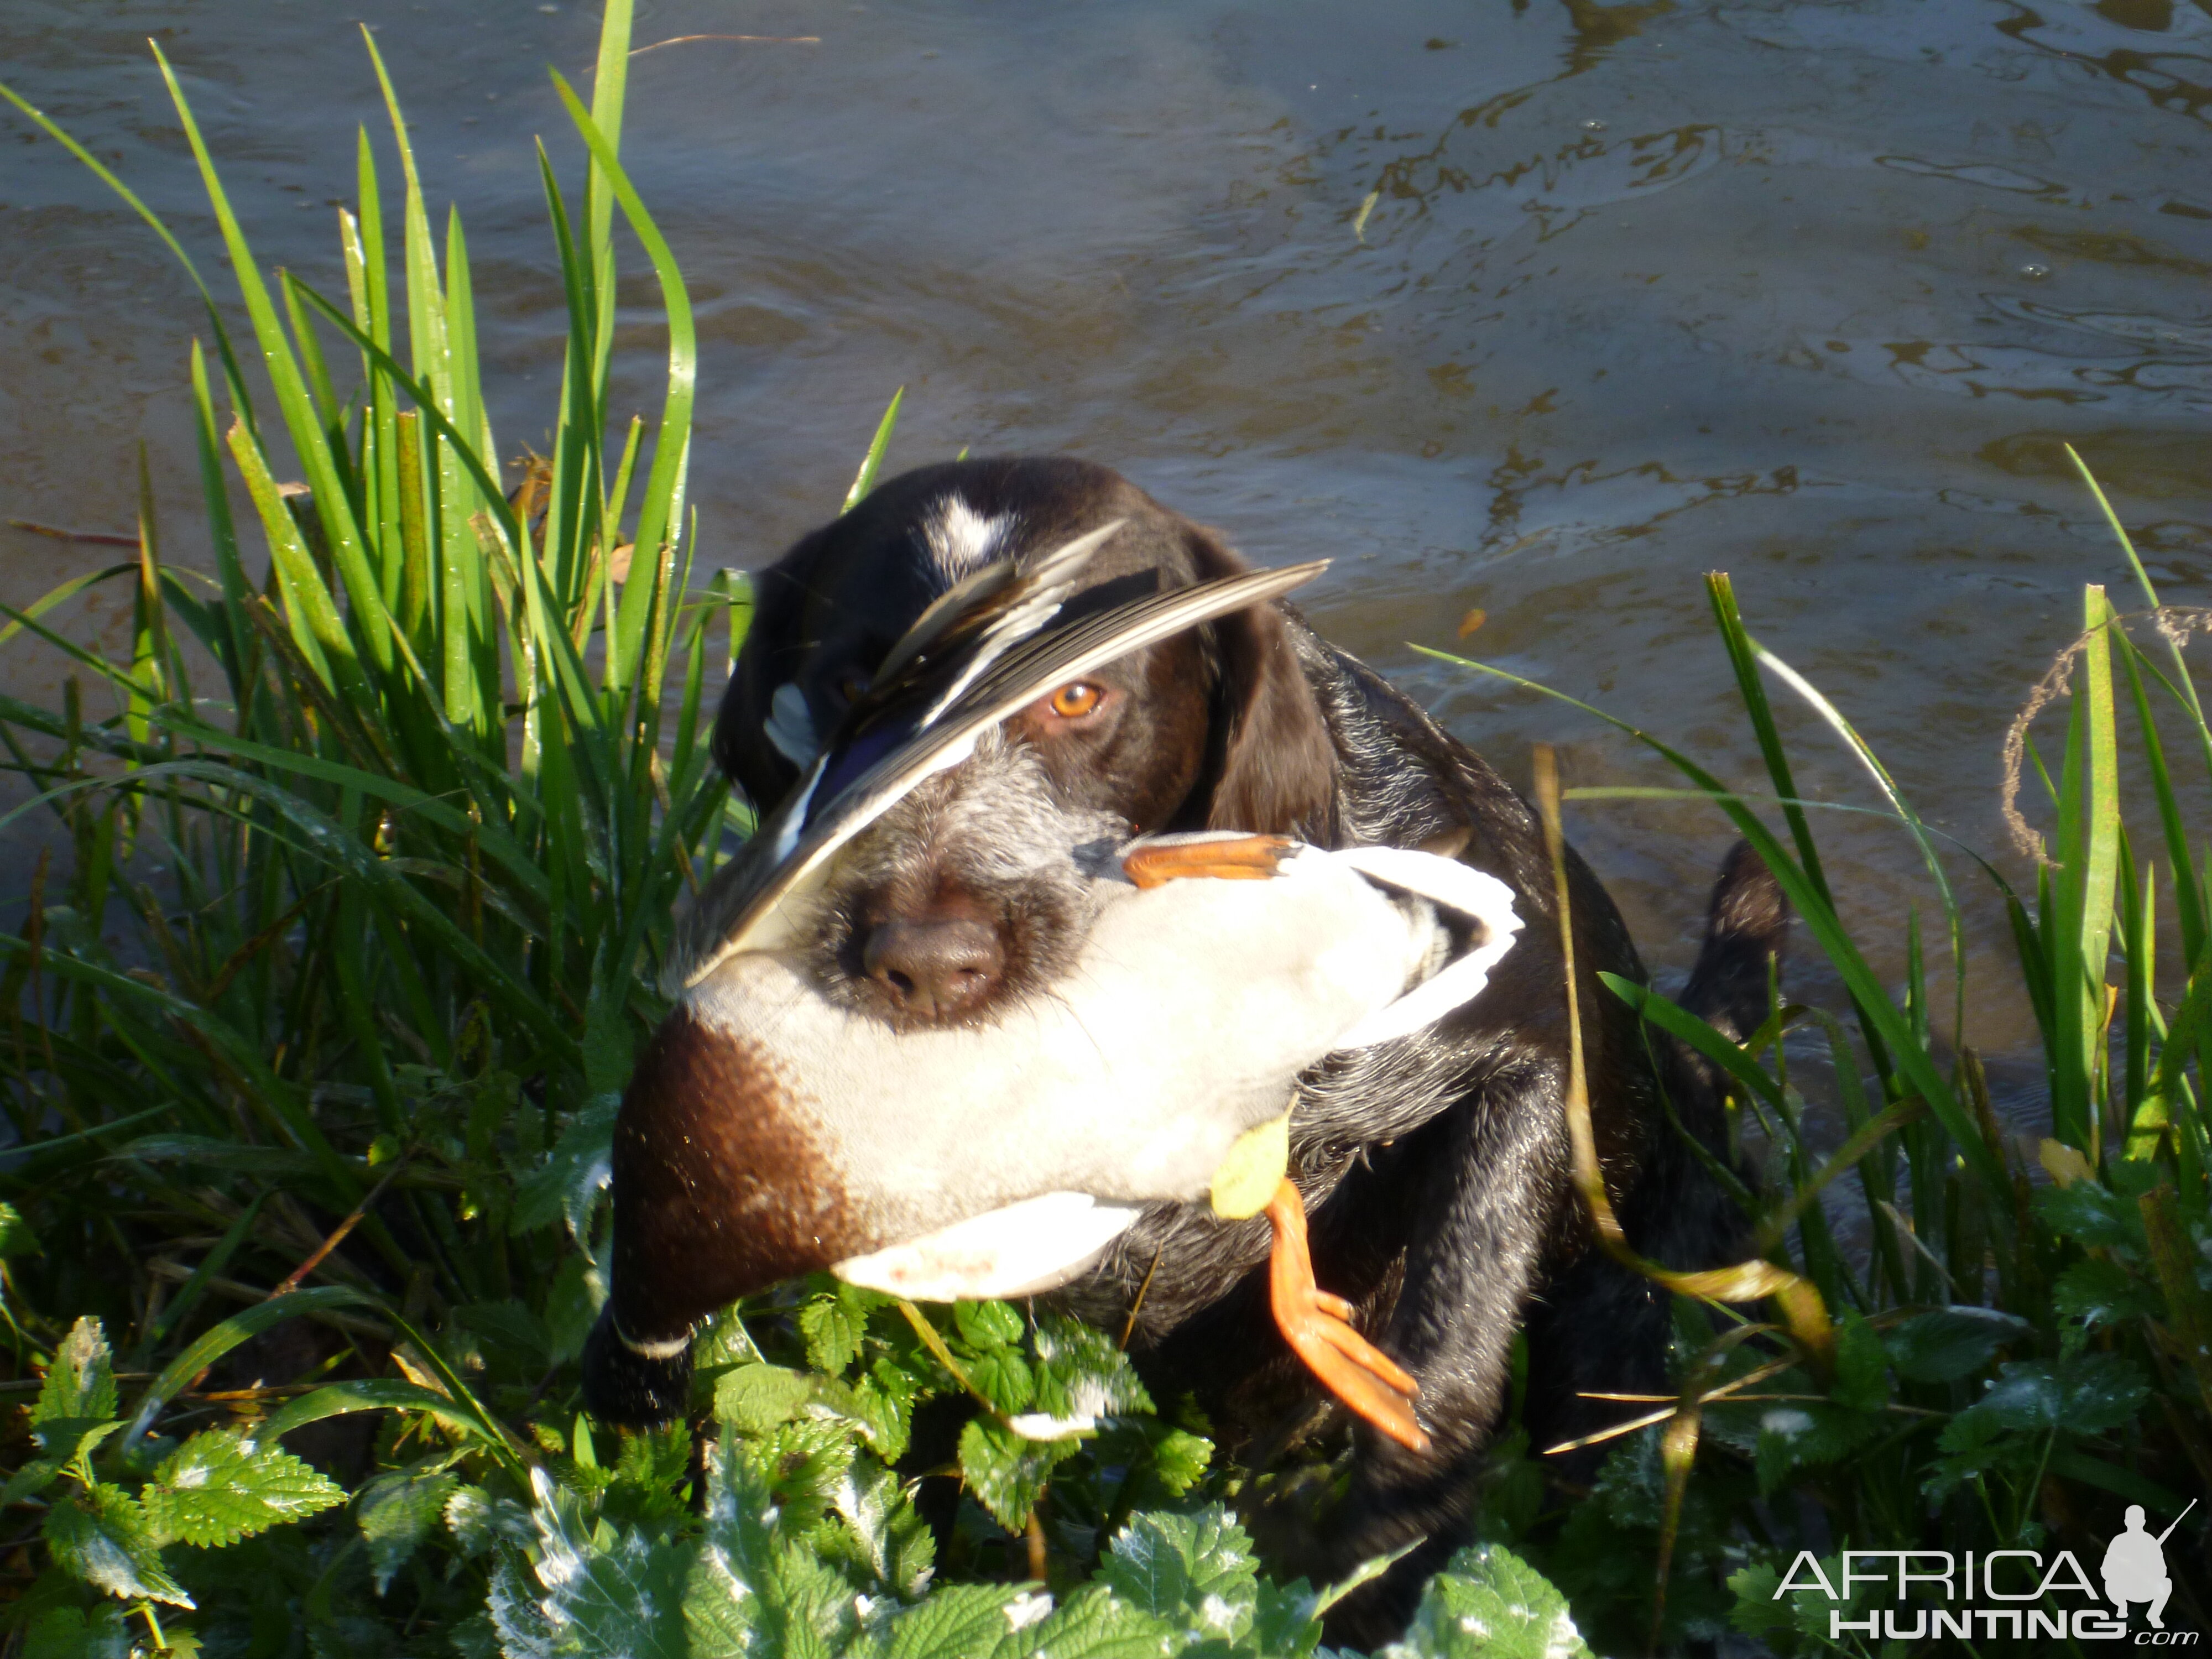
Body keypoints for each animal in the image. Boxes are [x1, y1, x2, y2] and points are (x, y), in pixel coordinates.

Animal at [584, 458, 1778, 1655]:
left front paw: (1385, 1561)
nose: (924, 963)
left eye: (1077, 696)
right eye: (852, 688)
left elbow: (1444, 1348)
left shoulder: (1523, 1056)